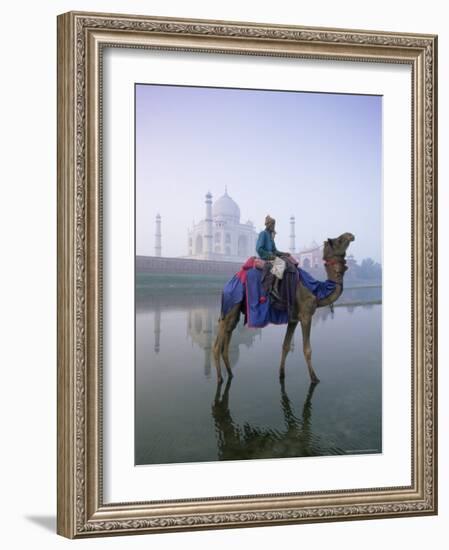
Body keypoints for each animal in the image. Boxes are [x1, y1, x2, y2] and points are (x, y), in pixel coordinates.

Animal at [212, 233, 356, 384]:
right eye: (339, 240)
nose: (350, 235)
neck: (316, 290)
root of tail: (227, 285)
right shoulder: (306, 315)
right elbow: (307, 349)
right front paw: (314, 378)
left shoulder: (293, 318)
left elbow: (285, 346)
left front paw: (281, 374)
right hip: (231, 302)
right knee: (217, 344)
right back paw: (220, 378)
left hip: (234, 308)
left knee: (228, 334)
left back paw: (230, 374)